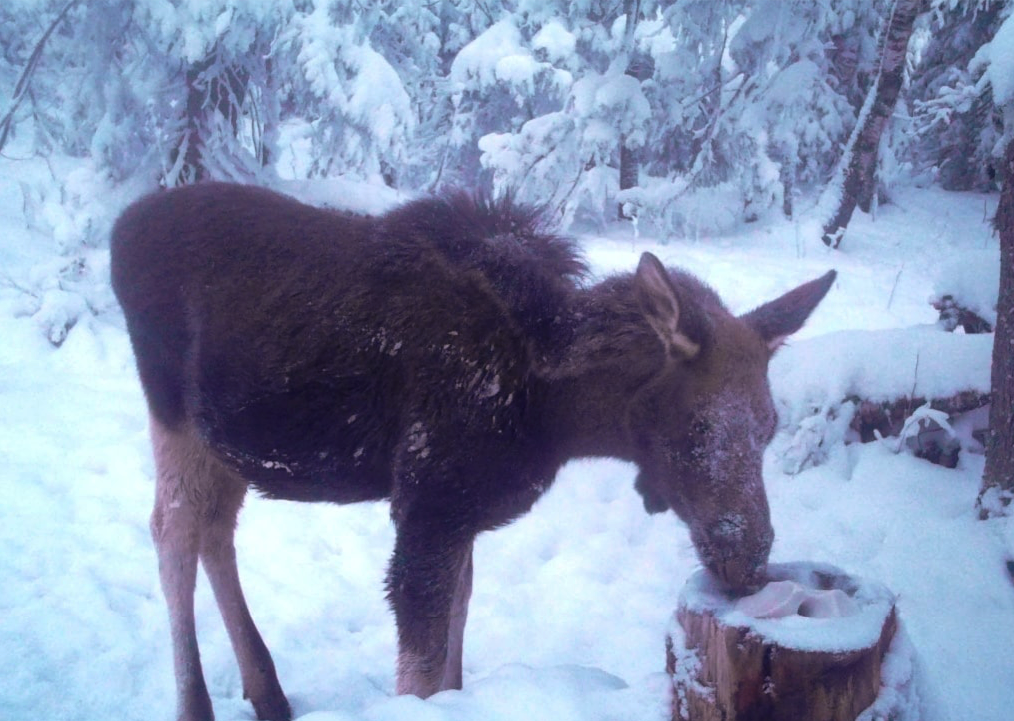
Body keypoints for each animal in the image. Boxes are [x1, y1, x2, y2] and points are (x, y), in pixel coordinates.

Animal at [111, 184, 835, 721]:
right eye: (696, 427)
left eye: (771, 426)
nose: (750, 559)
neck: (555, 414)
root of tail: (121, 229)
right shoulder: (428, 507)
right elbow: (422, 668)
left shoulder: (462, 513)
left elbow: (455, 645)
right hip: (171, 416)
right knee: (172, 531)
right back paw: (196, 704)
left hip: (220, 440)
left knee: (215, 530)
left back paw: (268, 691)